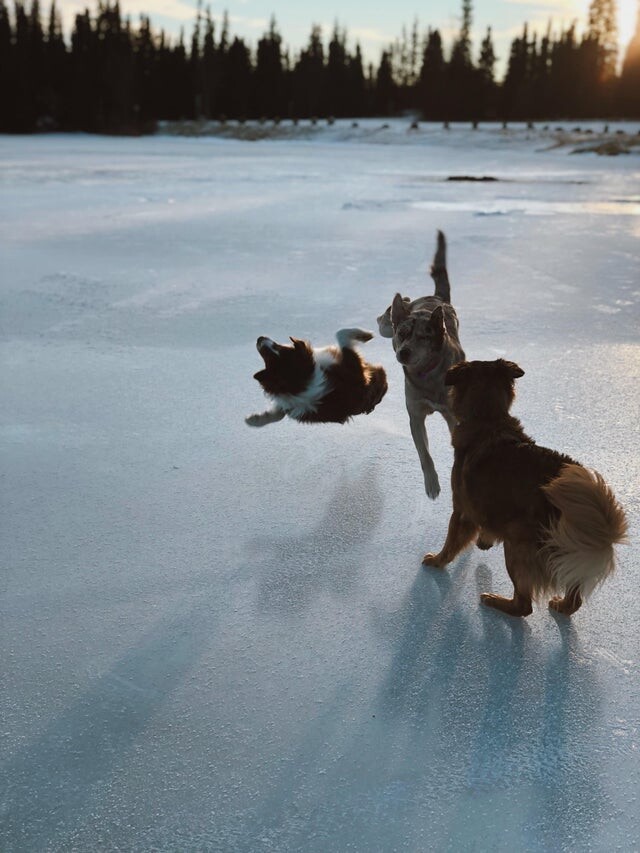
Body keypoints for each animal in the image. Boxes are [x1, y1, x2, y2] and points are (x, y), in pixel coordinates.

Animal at [244, 326, 384, 426]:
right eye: (268, 358)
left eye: (278, 347)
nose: (259, 338)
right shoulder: (355, 372)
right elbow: (340, 334)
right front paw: (366, 335)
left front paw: (253, 419)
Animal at [380, 231, 464, 500]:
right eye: (403, 334)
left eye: (422, 337)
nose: (403, 352)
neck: (427, 377)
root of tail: (435, 297)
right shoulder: (415, 415)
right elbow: (424, 455)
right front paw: (432, 484)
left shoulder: (452, 415)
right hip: (386, 327)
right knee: (385, 319)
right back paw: (397, 304)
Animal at [422, 356, 628, 616]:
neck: (489, 418)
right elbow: (487, 525)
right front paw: (484, 541)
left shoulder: (461, 510)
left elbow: (450, 543)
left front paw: (437, 560)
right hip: (570, 549)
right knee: (574, 599)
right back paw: (561, 606)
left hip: (517, 544)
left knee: (524, 606)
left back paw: (495, 601)